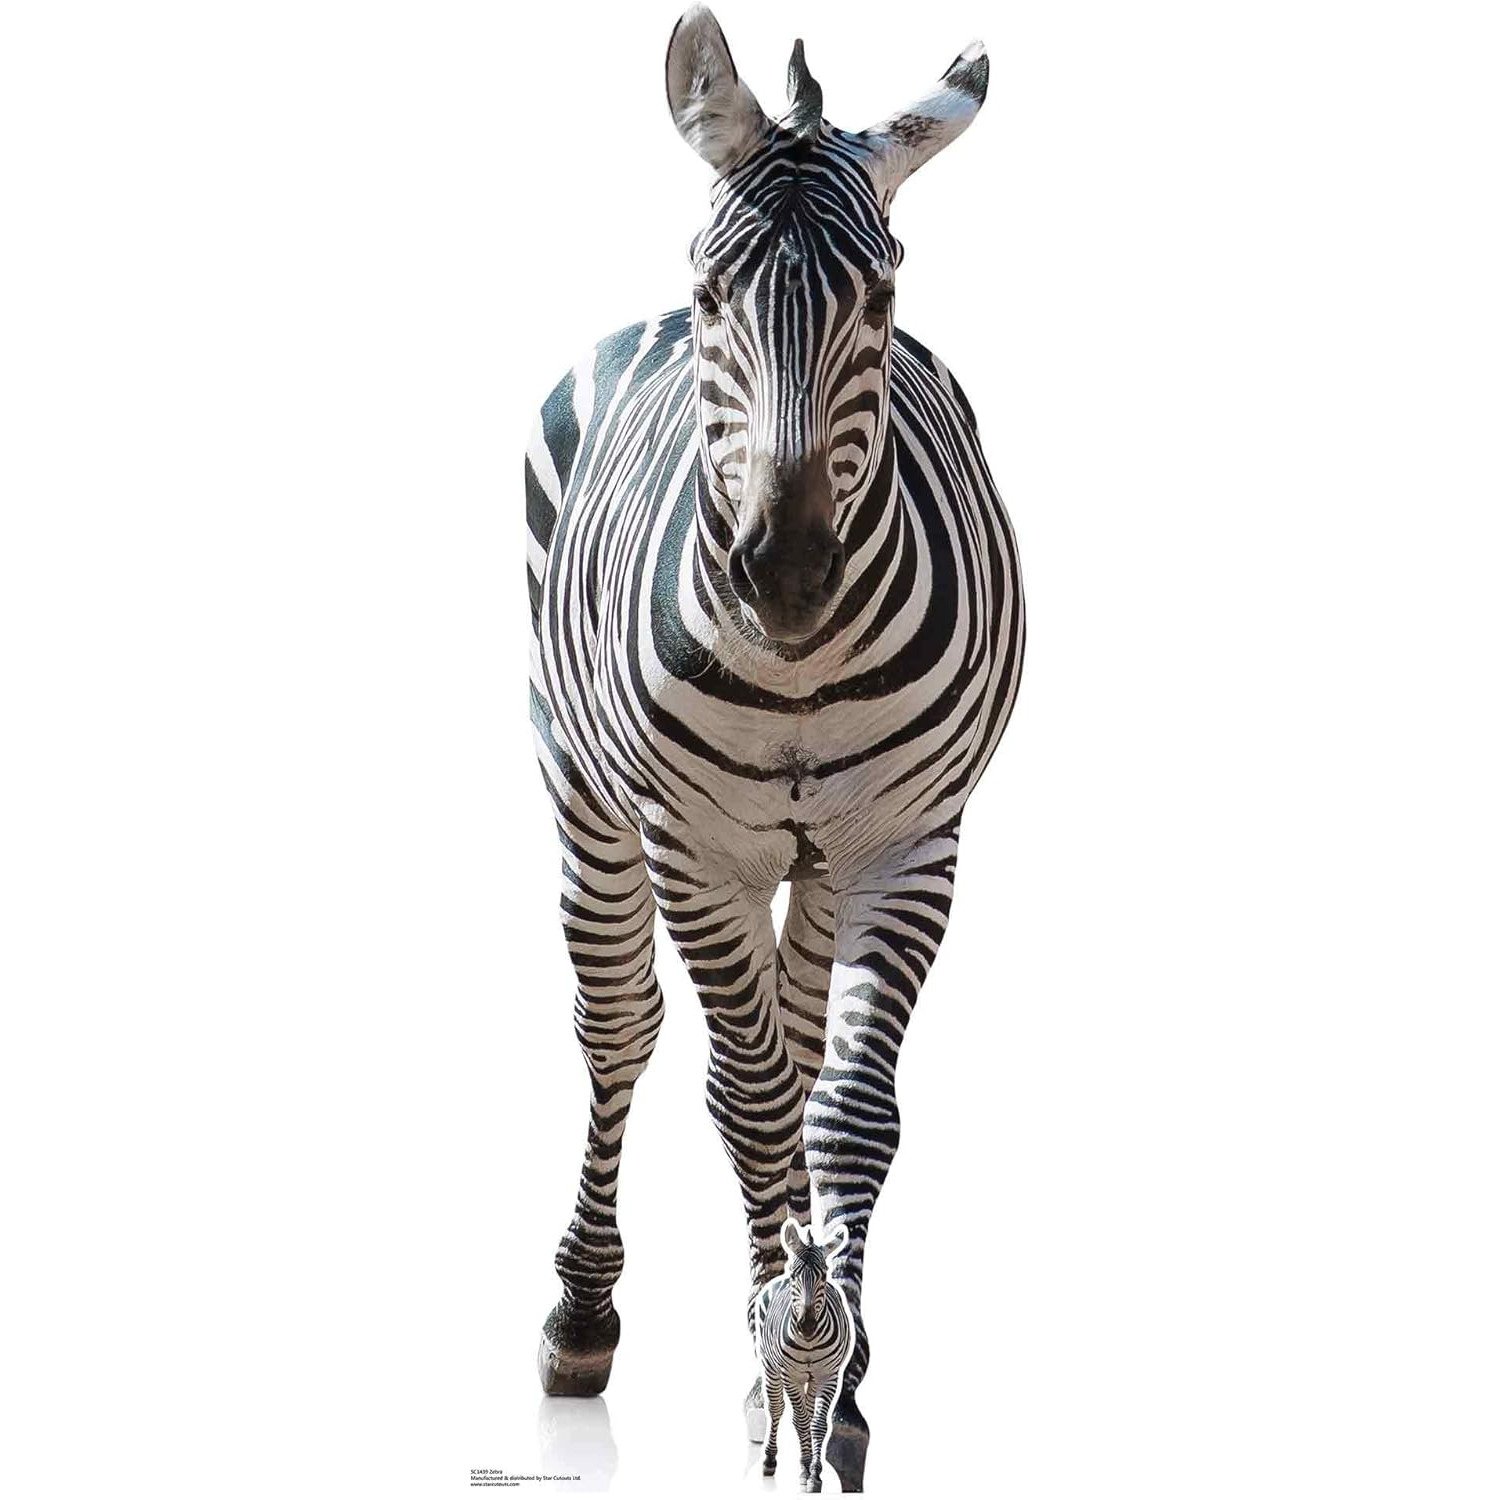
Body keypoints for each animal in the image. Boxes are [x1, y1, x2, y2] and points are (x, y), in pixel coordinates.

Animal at [753, 1218, 854, 1492]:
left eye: (824, 1275)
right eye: (794, 1275)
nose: (807, 1326)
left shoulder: (829, 1376)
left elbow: (817, 1424)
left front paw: (814, 1474)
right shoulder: (791, 1376)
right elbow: (799, 1421)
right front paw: (805, 1469)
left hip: (811, 1378)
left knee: (807, 1413)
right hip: (771, 1368)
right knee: (776, 1409)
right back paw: (769, 1460)